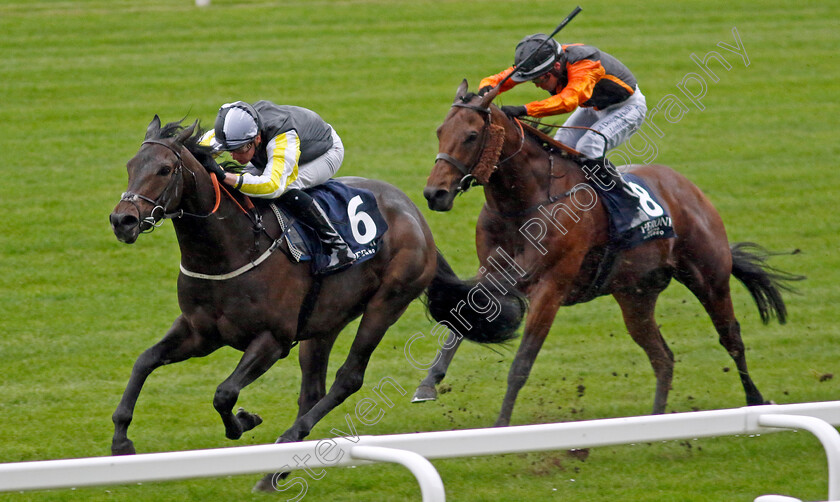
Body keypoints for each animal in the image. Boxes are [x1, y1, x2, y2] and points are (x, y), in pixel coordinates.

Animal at [106, 115, 524, 488]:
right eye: (130, 166)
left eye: (164, 170)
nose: (122, 220)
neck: (229, 249)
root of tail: (415, 215)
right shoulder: (199, 332)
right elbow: (145, 361)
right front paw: (121, 441)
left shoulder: (272, 340)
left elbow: (224, 393)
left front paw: (244, 421)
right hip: (325, 320)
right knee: (313, 390)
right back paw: (277, 470)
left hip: (386, 302)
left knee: (348, 378)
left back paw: (286, 446)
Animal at [416, 80, 804, 426]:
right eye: (439, 131)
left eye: (470, 135)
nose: (435, 193)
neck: (525, 201)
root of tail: (688, 188)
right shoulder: (491, 275)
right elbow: (459, 321)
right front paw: (428, 383)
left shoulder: (551, 287)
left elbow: (522, 362)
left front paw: (501, 425)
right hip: (636, 295)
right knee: (663, 357)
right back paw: (655, 422)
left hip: (709, 277)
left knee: (731, 338)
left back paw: (754, 400)